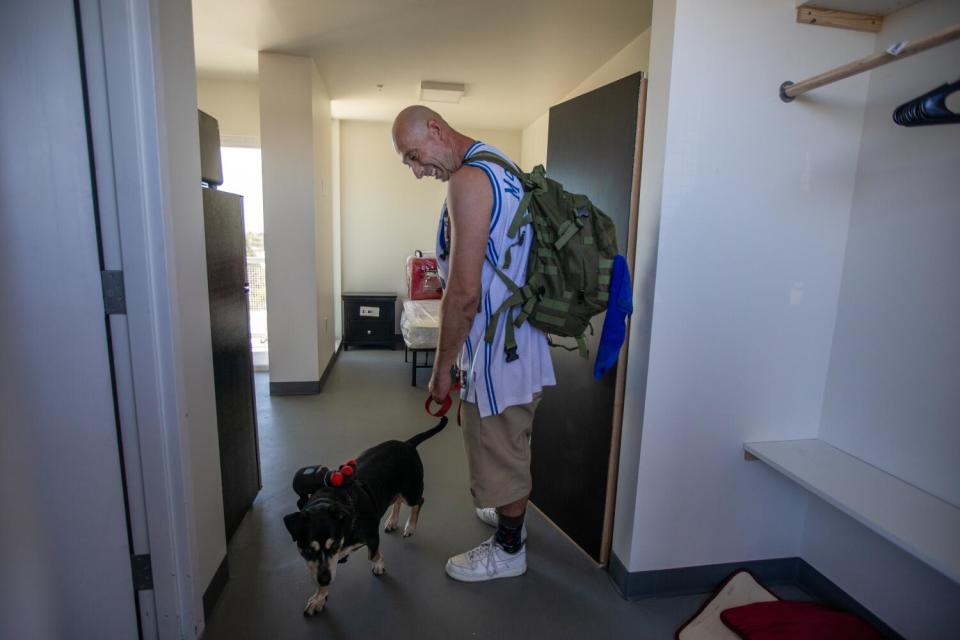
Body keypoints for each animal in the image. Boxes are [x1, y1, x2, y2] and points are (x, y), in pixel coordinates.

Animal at [284, 416, 448, 616]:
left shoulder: (371, 536)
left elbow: (373, 555)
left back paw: (410, 526)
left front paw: (378, 565)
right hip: (394, 490)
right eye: (307, 550)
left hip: (411, 490)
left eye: (334, 545)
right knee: (397, 501)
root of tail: (407, 444)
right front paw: (319, 597)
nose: (324, 580)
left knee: (419, 502)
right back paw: (392, 521)